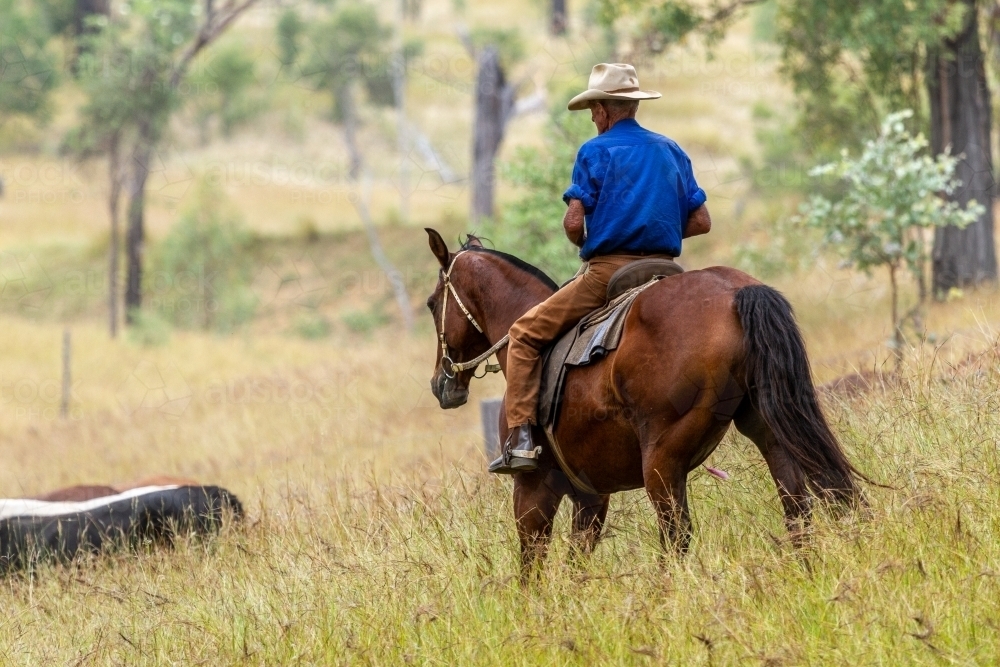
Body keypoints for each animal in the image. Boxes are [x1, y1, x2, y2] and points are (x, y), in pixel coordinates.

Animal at [426, 230, 864, 576]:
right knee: (797, 507)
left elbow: (531, 566)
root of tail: (734, 291)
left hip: (661, 459)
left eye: (432, 304)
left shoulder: (534, 489)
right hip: (768, 431)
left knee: (676, 535)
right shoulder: (591, 496)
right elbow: (574, 566)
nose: (440, 384)